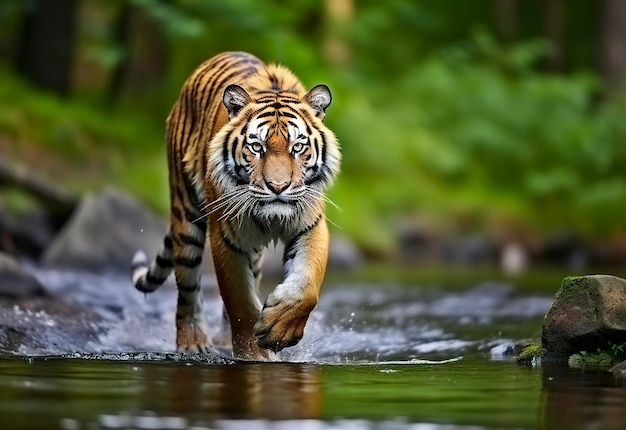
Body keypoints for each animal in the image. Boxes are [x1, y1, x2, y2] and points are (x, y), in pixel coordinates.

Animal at [129, 51, 338, 360]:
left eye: (297, 148)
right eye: (257, 147)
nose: (278, 187)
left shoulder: (310, 224)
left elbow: (306, 285)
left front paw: (279, 329)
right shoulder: (226, 237)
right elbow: (239, 301)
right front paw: (255, 355)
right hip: (186, 215)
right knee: (188, 289)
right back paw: (193, 344)